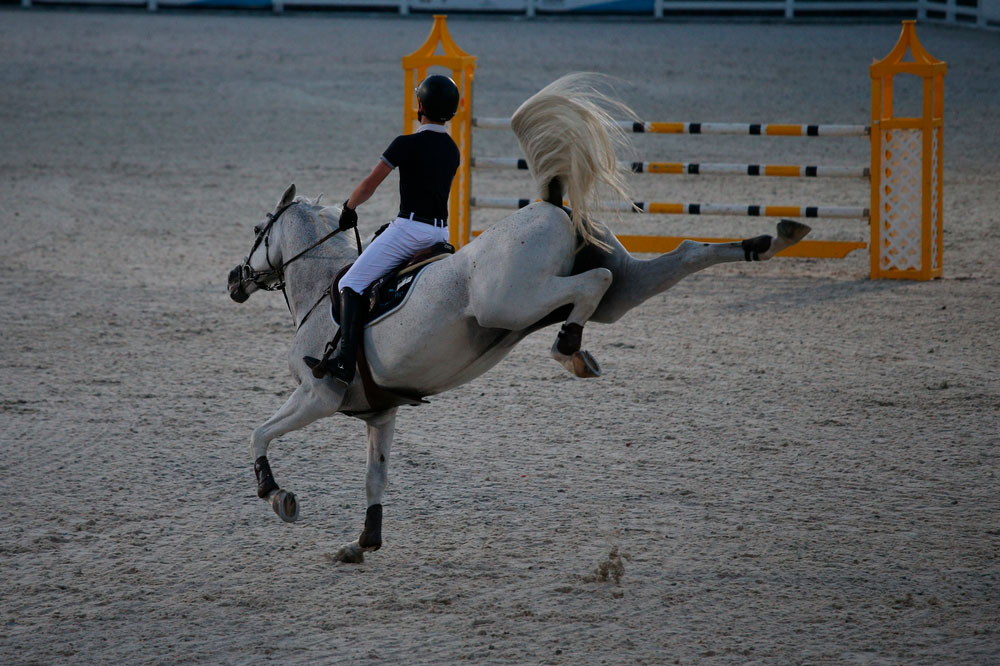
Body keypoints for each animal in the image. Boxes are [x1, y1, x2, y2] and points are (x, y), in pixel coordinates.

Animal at [229, 72, 812, 560]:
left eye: (259, 229)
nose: (235, 280)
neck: (318, 291)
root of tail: (550, 204)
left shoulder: (318, 394)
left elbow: (258, 433)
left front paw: (275, 494)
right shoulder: (381, 413)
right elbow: (375, 478)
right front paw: (362, 542)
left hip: (511, 302)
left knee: (592, 287)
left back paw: (569, 347)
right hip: (623, 290)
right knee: (681, 255)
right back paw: (771, 239)